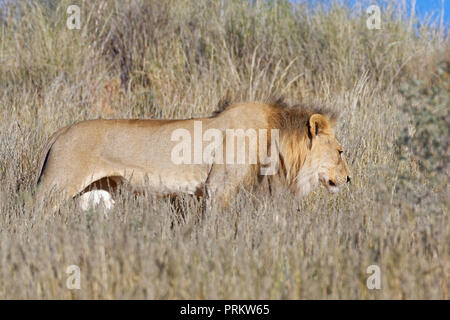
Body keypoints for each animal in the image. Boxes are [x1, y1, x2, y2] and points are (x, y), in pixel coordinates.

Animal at [35, 99, 352, 211]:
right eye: (340, 152)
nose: (349, 179)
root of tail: (60, 132)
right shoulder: (218, 188)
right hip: (55, 187)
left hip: (94, 196)